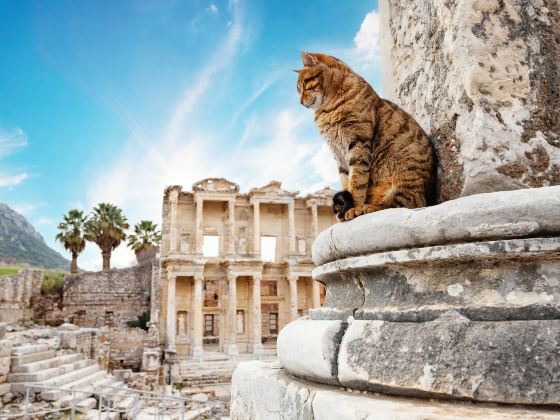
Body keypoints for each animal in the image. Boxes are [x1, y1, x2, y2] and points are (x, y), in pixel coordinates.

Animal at [296, 52, 436, 221]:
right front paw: (344, 208)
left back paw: (369, 207)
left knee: (406, 204)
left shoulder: (358, 142)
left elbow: (357, 182)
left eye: (305, 84)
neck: (326, 110)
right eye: (298, 90)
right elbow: (346, 181)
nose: (300, 102)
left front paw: (353, 208)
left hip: (405, 176)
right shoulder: (338, 154)